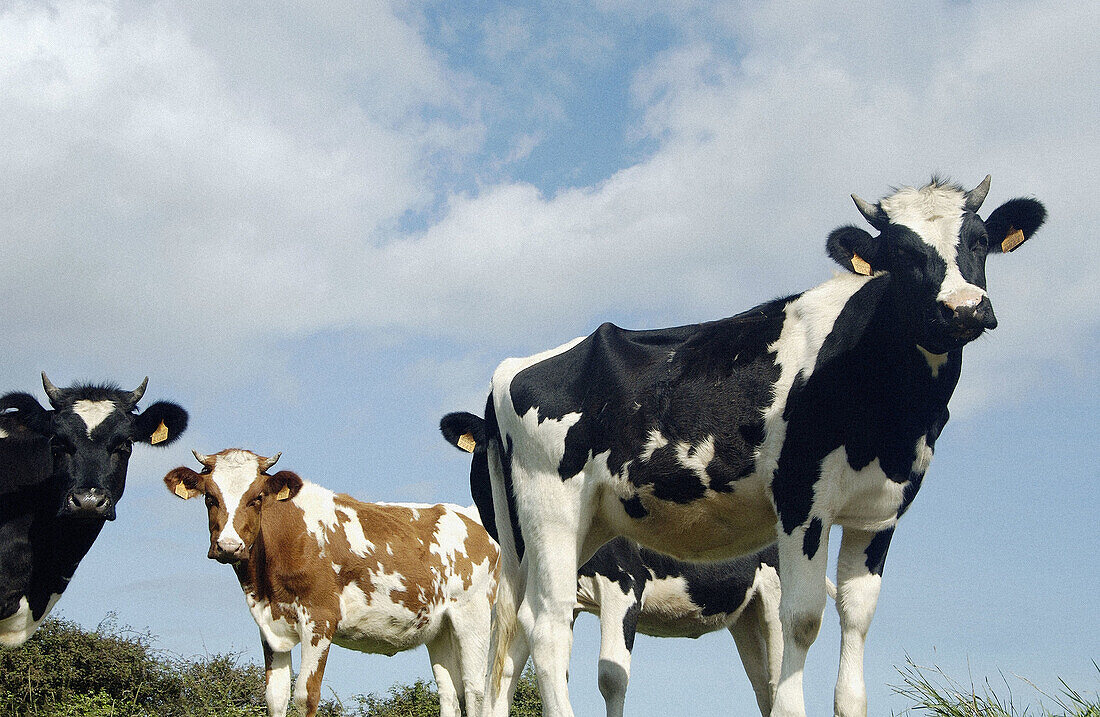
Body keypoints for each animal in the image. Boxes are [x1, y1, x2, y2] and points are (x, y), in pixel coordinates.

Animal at [163, 448, 499, 717]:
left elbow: (305, 696)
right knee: (450, 695)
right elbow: (275, 697)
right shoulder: (269, 623)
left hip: (474, 617)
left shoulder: (320, 618)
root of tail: (470, 515)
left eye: (256, 498)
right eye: (210, 498)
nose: (229, 547)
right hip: (439, 630)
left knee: (475, 691)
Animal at [448, 178, 1047, 717]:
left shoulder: (879, 513)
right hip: (552, 511)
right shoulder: (801, 501)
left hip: (544, 535)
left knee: (513, 637)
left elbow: (856, 619)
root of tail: (511, 370)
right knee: (547, 630)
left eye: (979, 241)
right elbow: (802, 623)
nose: (963, 309)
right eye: (899, 253)